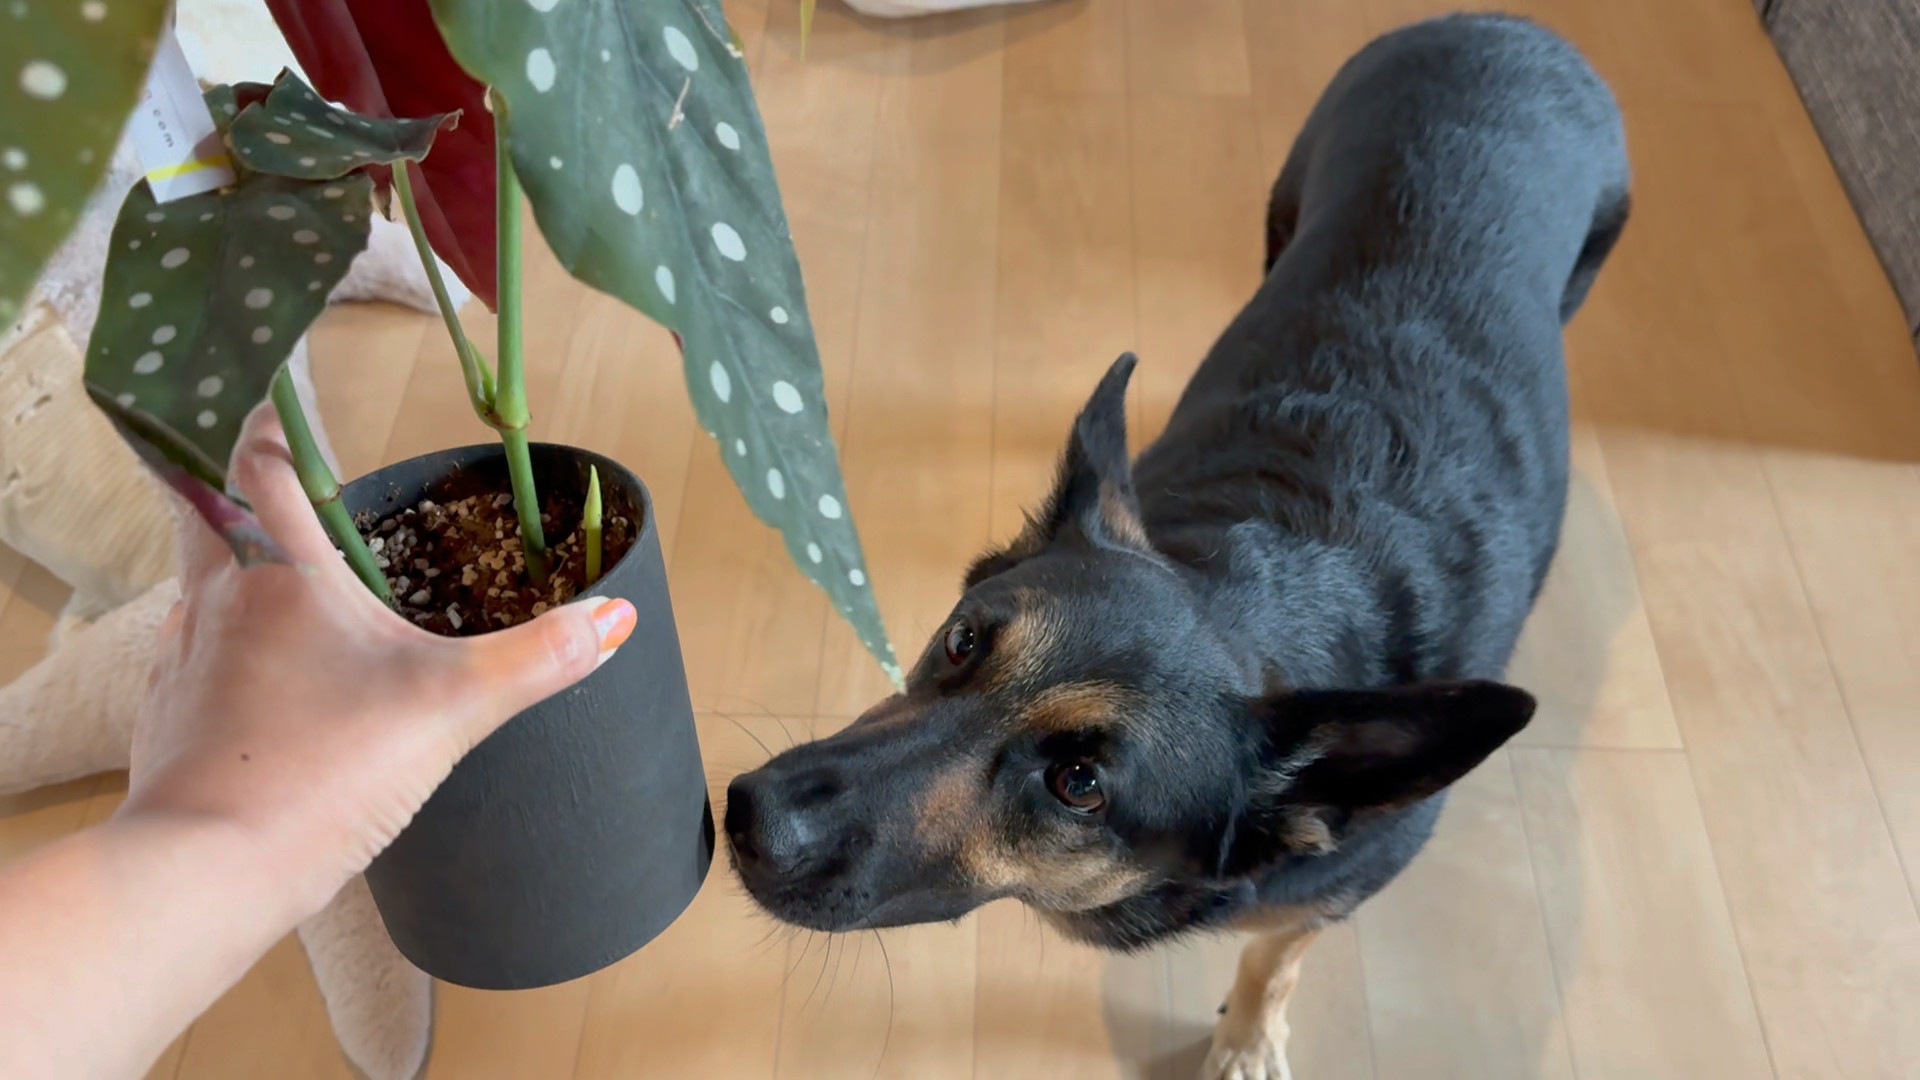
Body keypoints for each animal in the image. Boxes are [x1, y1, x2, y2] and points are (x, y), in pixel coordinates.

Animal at [725, 14, 1629, 1079]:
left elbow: (1273, 962)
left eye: (1079, 787)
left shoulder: (1321, 901)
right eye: (961, 640)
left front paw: (1244, 1038)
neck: (1267, 595)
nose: (749, 815)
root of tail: (1510, 27)